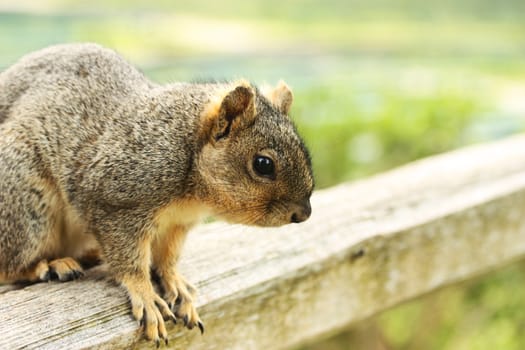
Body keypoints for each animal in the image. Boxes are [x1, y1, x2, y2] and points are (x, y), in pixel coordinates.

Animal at [0, 43, 312, 344]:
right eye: (263, 164)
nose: (304, 214)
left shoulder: (177, 224)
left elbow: (168, 258)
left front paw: (175, 283)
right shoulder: (116, 204)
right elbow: (130, 262)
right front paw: (146, 296)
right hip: (25, 204)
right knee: (10, 266)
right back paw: (50, 265)